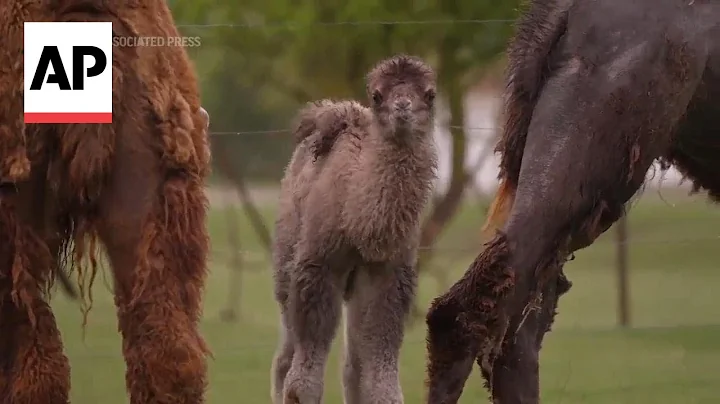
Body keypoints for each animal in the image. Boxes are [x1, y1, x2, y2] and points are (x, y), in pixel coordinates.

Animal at [271, 55, 438, 404]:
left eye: (429, 94)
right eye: (377, 95)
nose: (403, 107)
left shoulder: (389, 275)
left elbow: (379, 377)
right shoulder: (317, 267)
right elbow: (302, 383)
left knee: (352, 366)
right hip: (285, 261)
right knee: (285, 355)